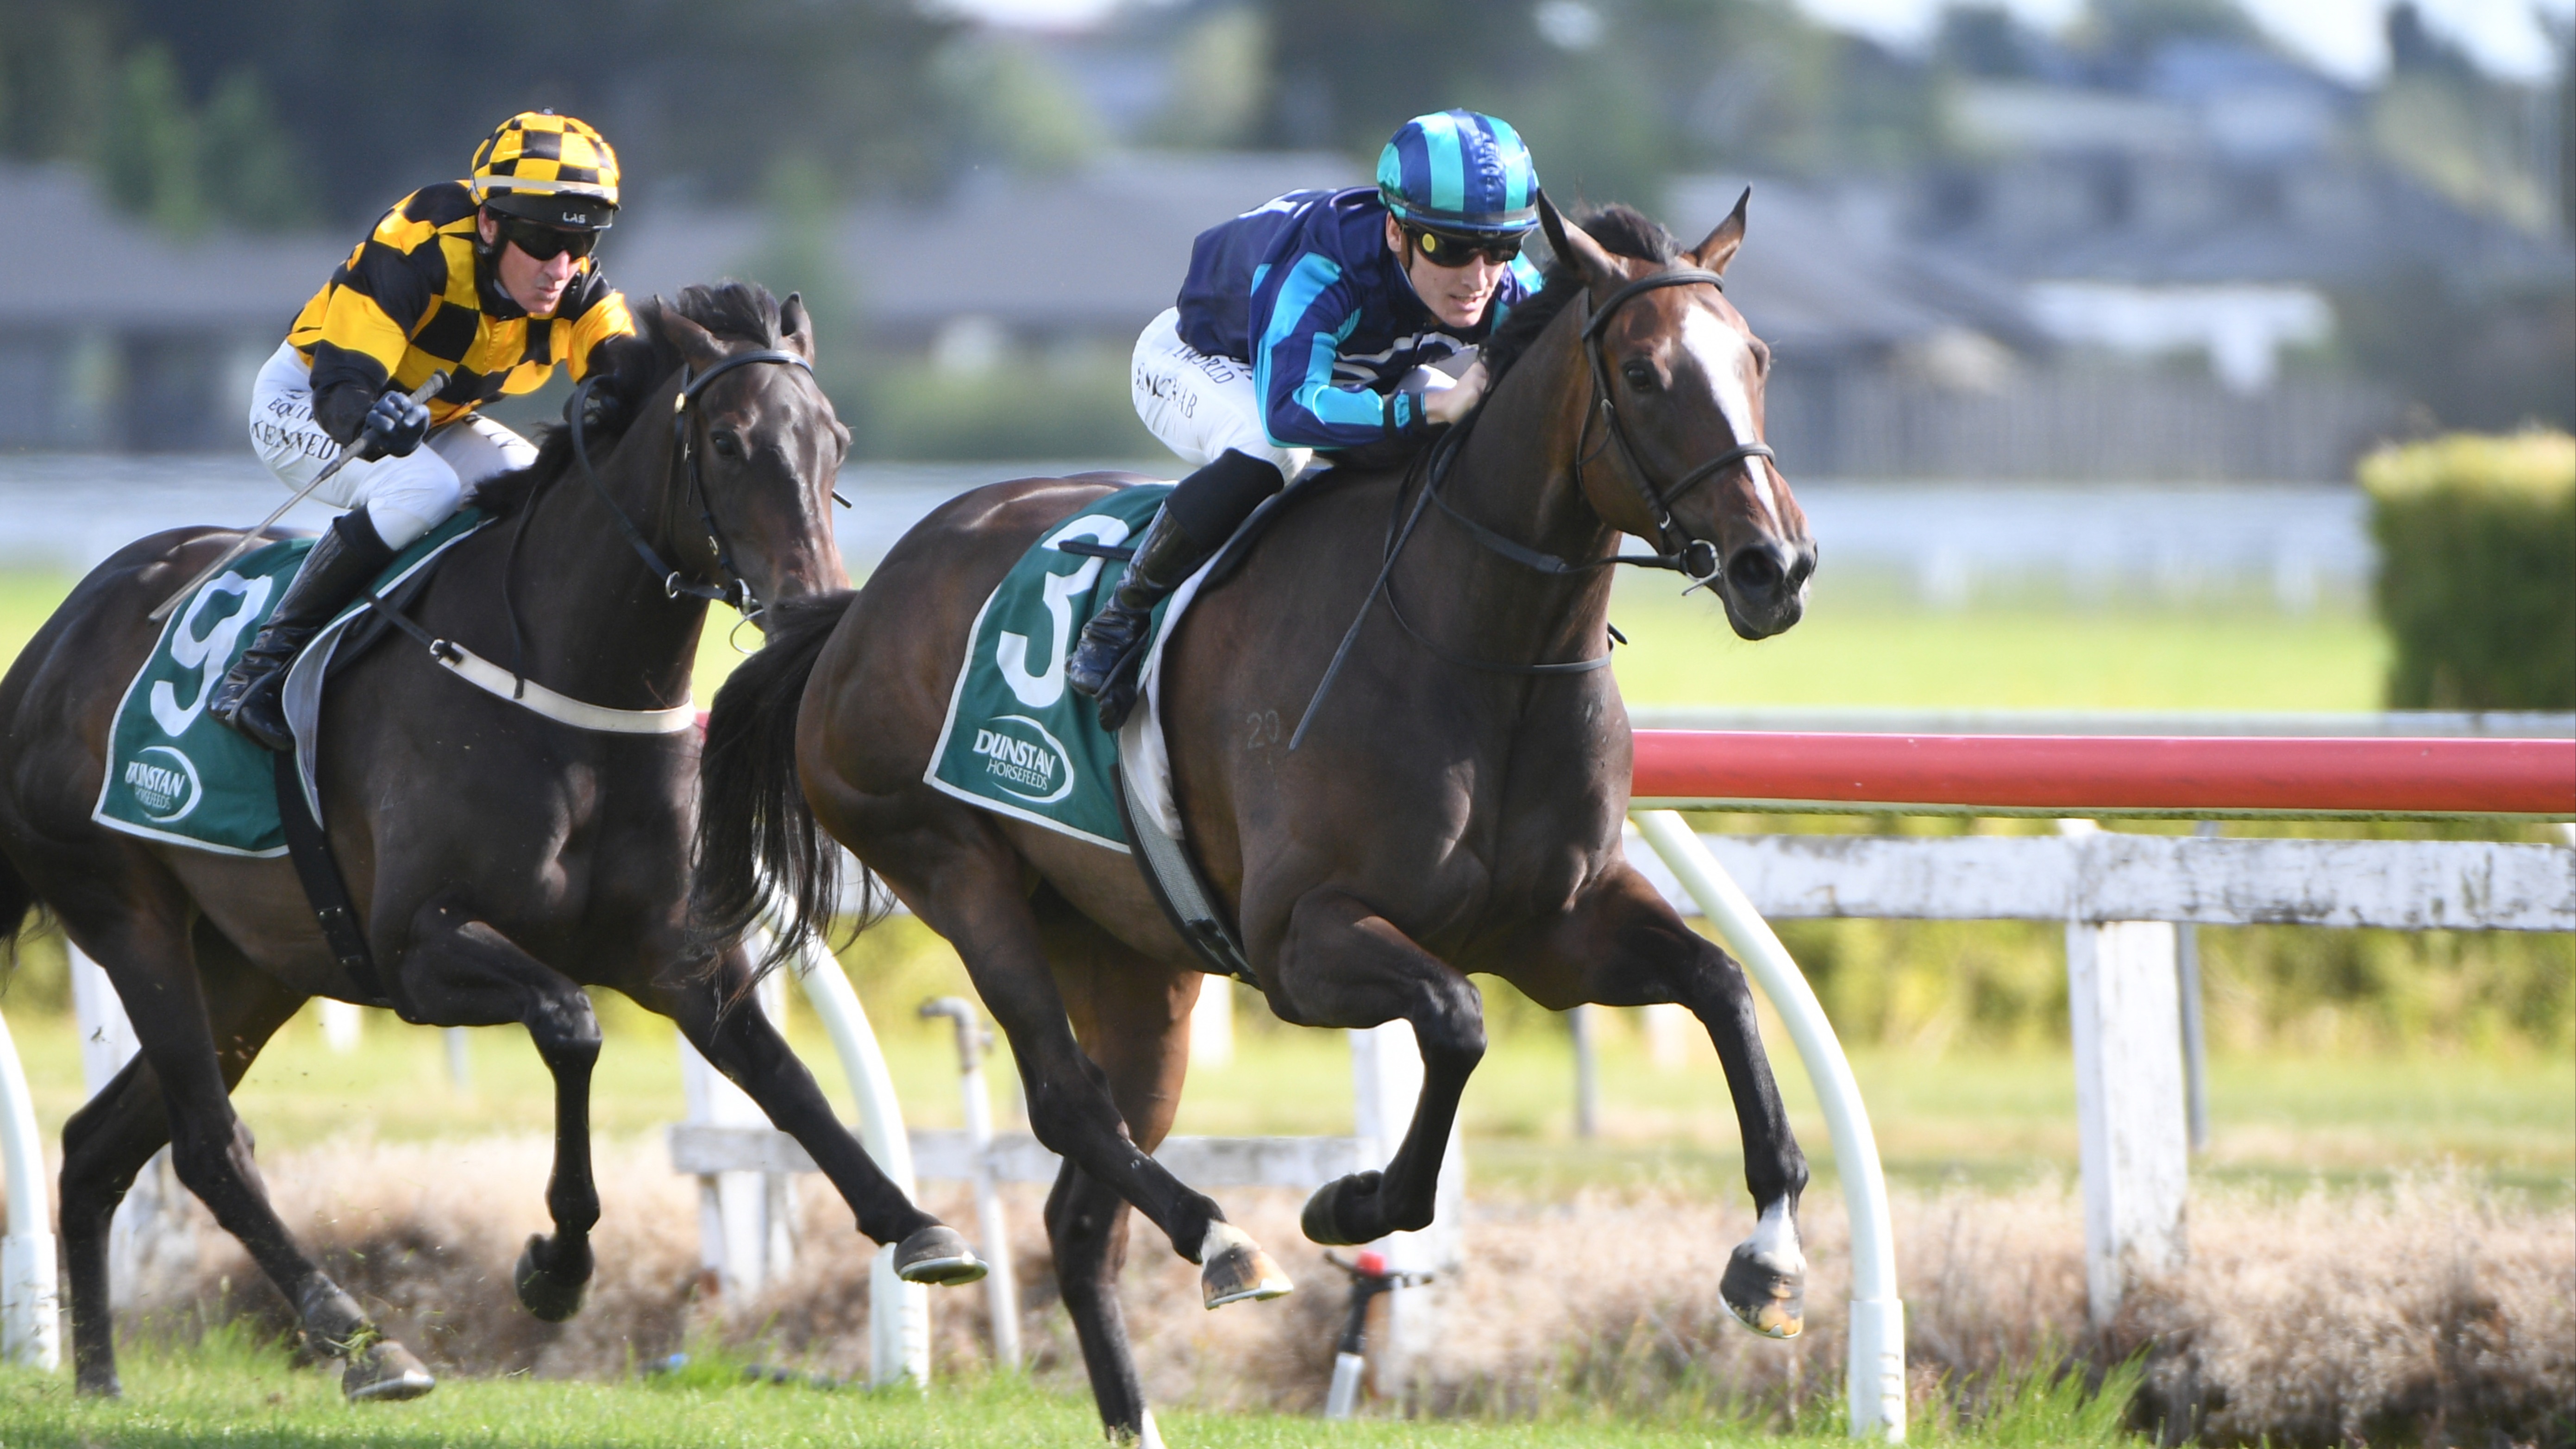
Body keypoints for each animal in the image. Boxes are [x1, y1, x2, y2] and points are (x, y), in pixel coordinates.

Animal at [0, 282, 985, 1401]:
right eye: (729, 441)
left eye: (835, 439)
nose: (815, 602)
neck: (565, 683)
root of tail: (49, 645)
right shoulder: (417, 951)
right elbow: (572, 1025)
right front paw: (556, 1265)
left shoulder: (676, 950)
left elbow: (787, 1078)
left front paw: (916, 1226)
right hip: (132, 917)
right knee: (208, 1143)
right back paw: (361, 1337)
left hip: (251, 966)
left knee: (98, 1145)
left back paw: (99, 1380)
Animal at [693, 195, 1817, 1439]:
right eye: (1644, 370)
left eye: (1756, 358)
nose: (1775, 565)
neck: (1474, 641)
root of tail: (854, 613)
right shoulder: (1299, 942)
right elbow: (1456, 1020)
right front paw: (1350, 1203)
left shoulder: (1558, 932)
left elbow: (1722, 985)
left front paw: (1770, 1257)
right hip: (951, 867)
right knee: (1064, 1098)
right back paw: (1222, 1238)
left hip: (1134, 962)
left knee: (1080, 1213)